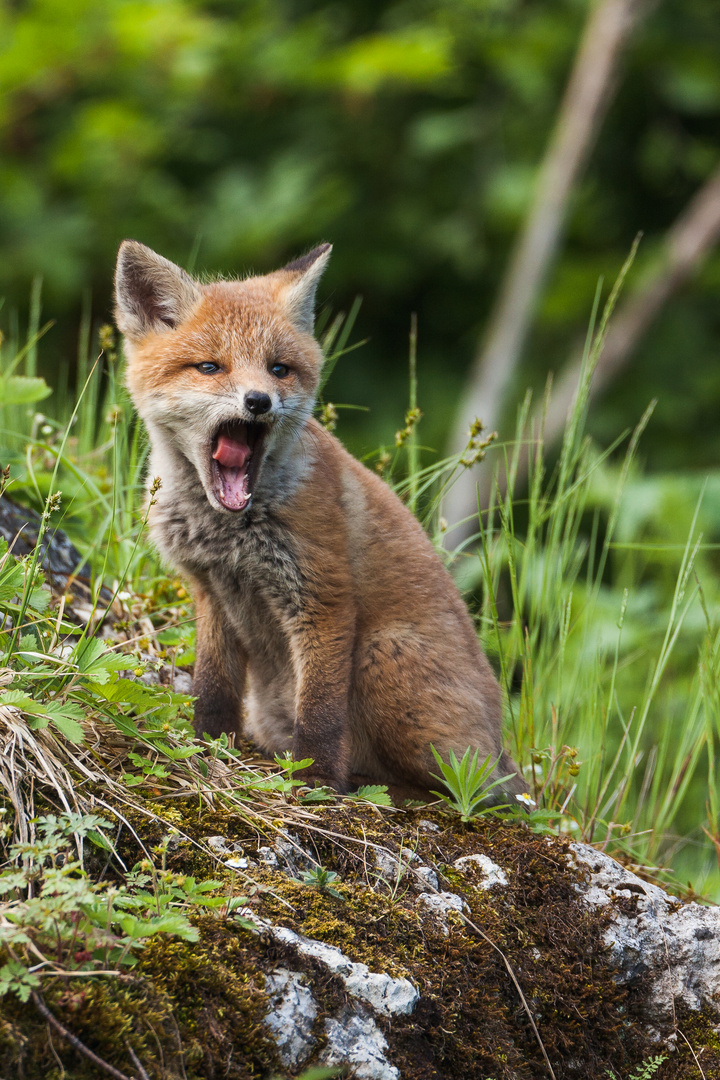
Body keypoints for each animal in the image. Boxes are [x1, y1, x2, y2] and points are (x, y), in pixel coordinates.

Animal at [115, 240, 526, 799]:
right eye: (210, 367)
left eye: (278, 369)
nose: (258, 401)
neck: (228, 535)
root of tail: (501, 747)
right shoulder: (211, 592)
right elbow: (212, 690)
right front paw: (206, 749)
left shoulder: (322, 597)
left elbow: (321, 712)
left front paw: (315, 782)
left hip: (380, 655)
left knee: (464, 792)